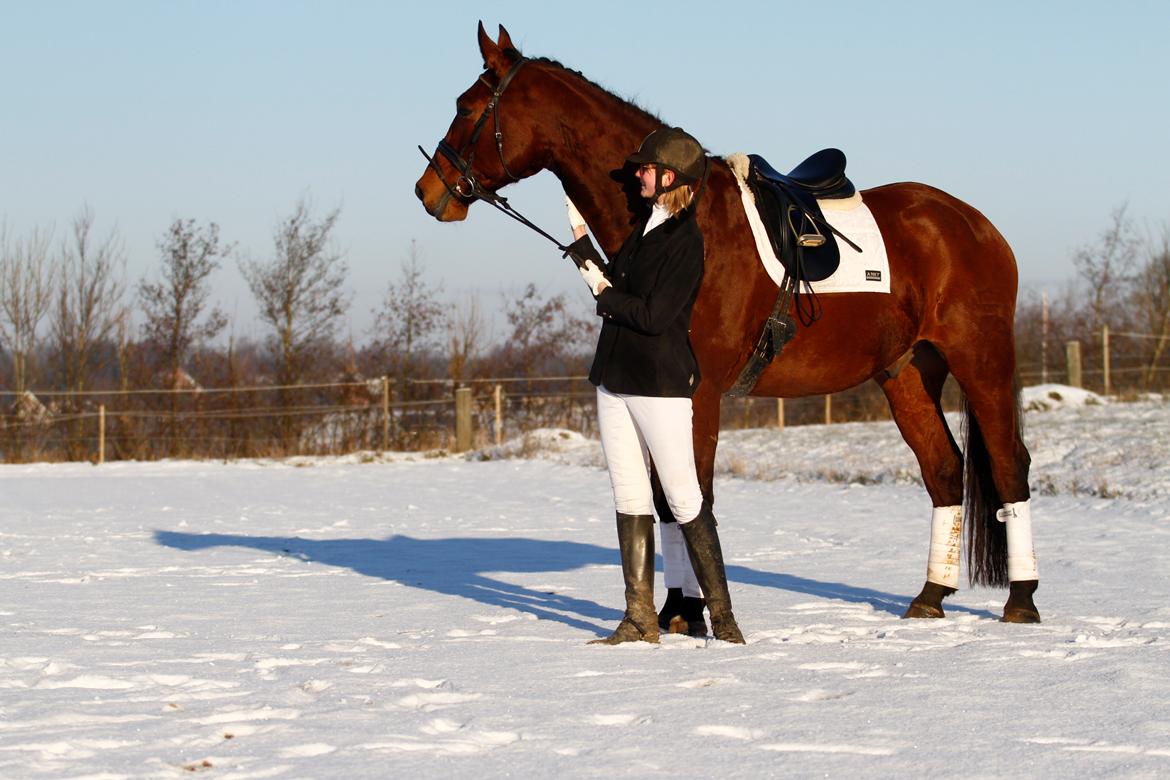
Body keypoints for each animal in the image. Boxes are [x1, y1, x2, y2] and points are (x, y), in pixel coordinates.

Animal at [411, 21, 1043, 626]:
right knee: (944, 470)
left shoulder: (700, 394)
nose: (427, 190)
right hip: (906, 372)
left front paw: (696, 612)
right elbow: (667, 502)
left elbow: (692, 496)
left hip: (980, 360)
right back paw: (931, 597)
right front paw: (677, 612)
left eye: (466, 106)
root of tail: (972, 223)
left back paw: (1022, 599)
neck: (687, 219)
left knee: (1008, 464)